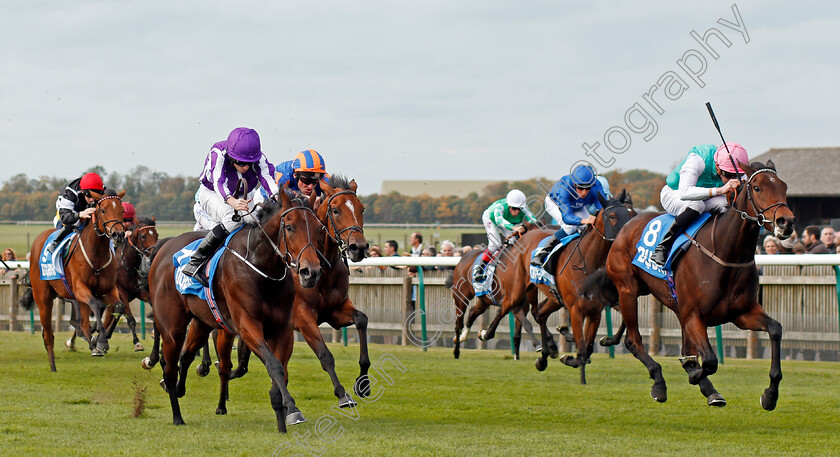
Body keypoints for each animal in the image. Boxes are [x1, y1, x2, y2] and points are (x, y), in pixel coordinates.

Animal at [25, 189, 126, 370]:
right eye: (103, 210)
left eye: (122, 211)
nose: (119, 234)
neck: (96, 254)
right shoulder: (80, 289)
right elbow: (96, 305)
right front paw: (101, 339)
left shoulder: (108, 289)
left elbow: (118, 307)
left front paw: (99, 341)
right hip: (43, 298)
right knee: (48, 334)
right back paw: (53, 366)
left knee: (82, 322)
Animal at [148, 189, 322, 432]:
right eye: (289, 226)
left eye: (317, 228)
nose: (310, 272)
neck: (261, 266)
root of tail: (164, 247)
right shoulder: (248, 325)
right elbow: (275, 366)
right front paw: (293, 409)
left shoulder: (282, 330)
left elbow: (280, 371)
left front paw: (282, 416)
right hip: (172, 328)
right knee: (170, 369)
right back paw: (177, 416)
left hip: (202, 322)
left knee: (187, 354)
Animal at [210, 175, 370, 414]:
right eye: (335, 210)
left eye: (361, 209)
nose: (358, 247)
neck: (323, 267)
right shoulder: (302, 316)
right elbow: (325, 354)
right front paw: (342, 395)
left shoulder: (335, 310)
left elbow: (361, 319)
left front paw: (363, 383)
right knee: (221, 351)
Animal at [592, 159, 796, 406]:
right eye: (757, 188)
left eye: (784, 187)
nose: (786, 222)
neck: (726, 253)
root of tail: (627, 226)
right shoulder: (694, 316)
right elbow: (709, 360)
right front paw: (694, 376)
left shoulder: (742, 313)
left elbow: (775, 329)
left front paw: (770, 394)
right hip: (628, 289)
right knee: (633, 341)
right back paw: (659, 383)